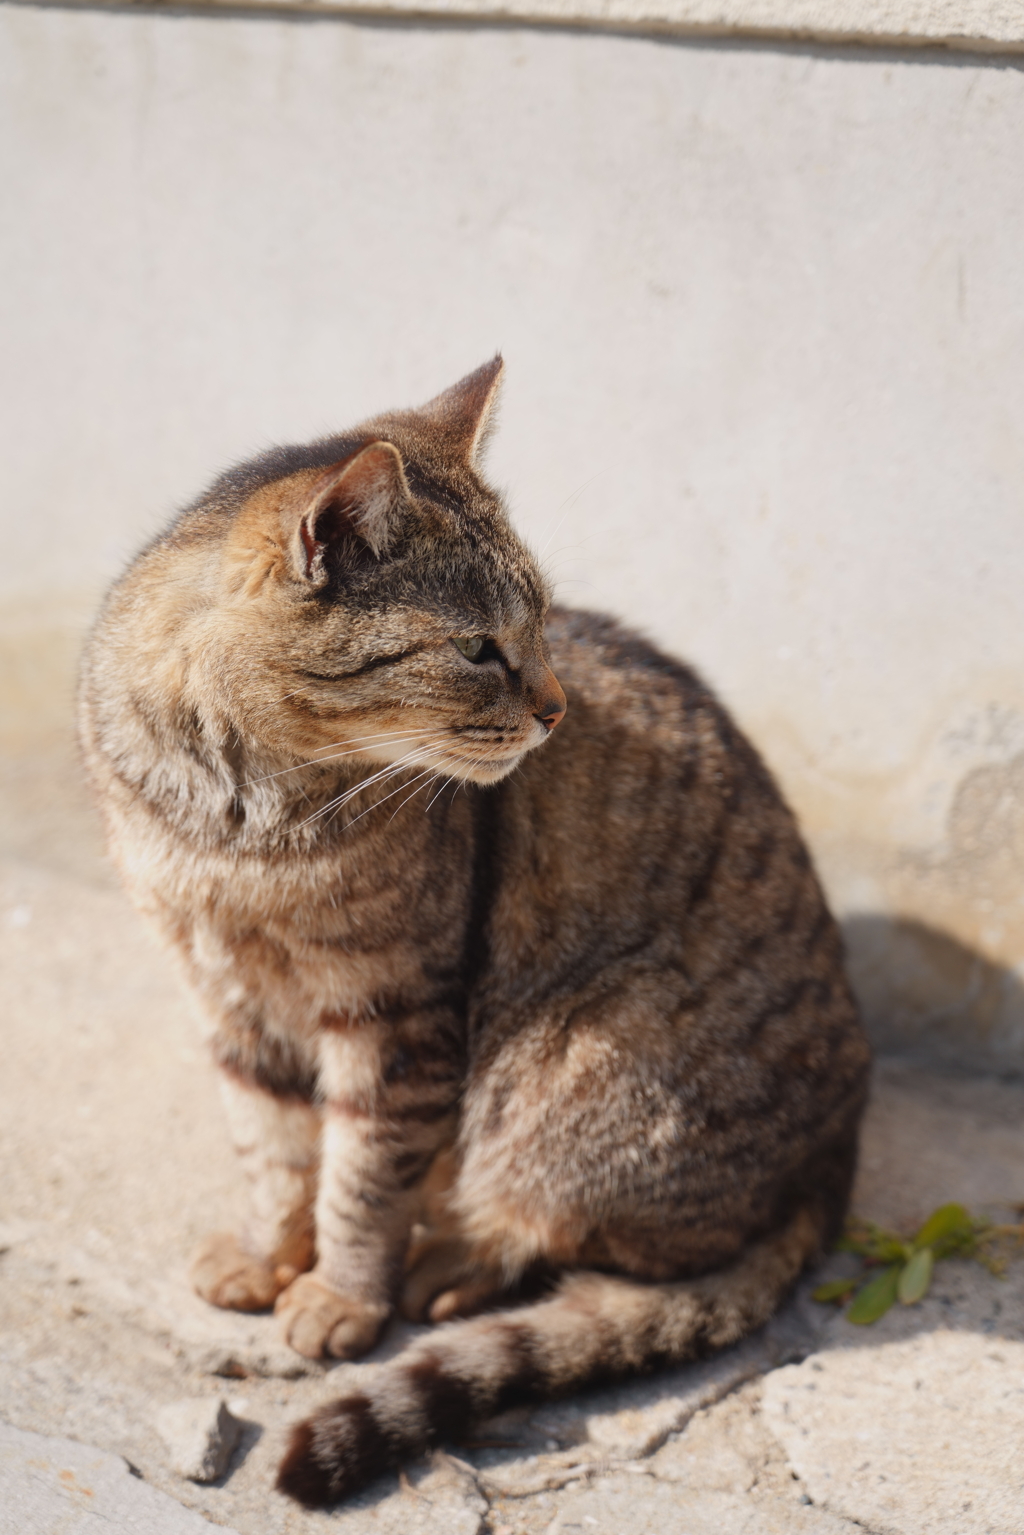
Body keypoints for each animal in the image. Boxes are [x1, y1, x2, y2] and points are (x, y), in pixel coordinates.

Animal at [75, 353, 872, 1504]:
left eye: (541, 624)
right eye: (479, 647)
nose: (554, 706)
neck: (241, 821)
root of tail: (832, 1161)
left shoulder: (395, 1014)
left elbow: (362, 1176)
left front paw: (340, 1295)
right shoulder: (223, 989)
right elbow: (271, 1146)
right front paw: (268, 1253)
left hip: (580, 1062)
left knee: (590, 1232)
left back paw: (453, 1259)